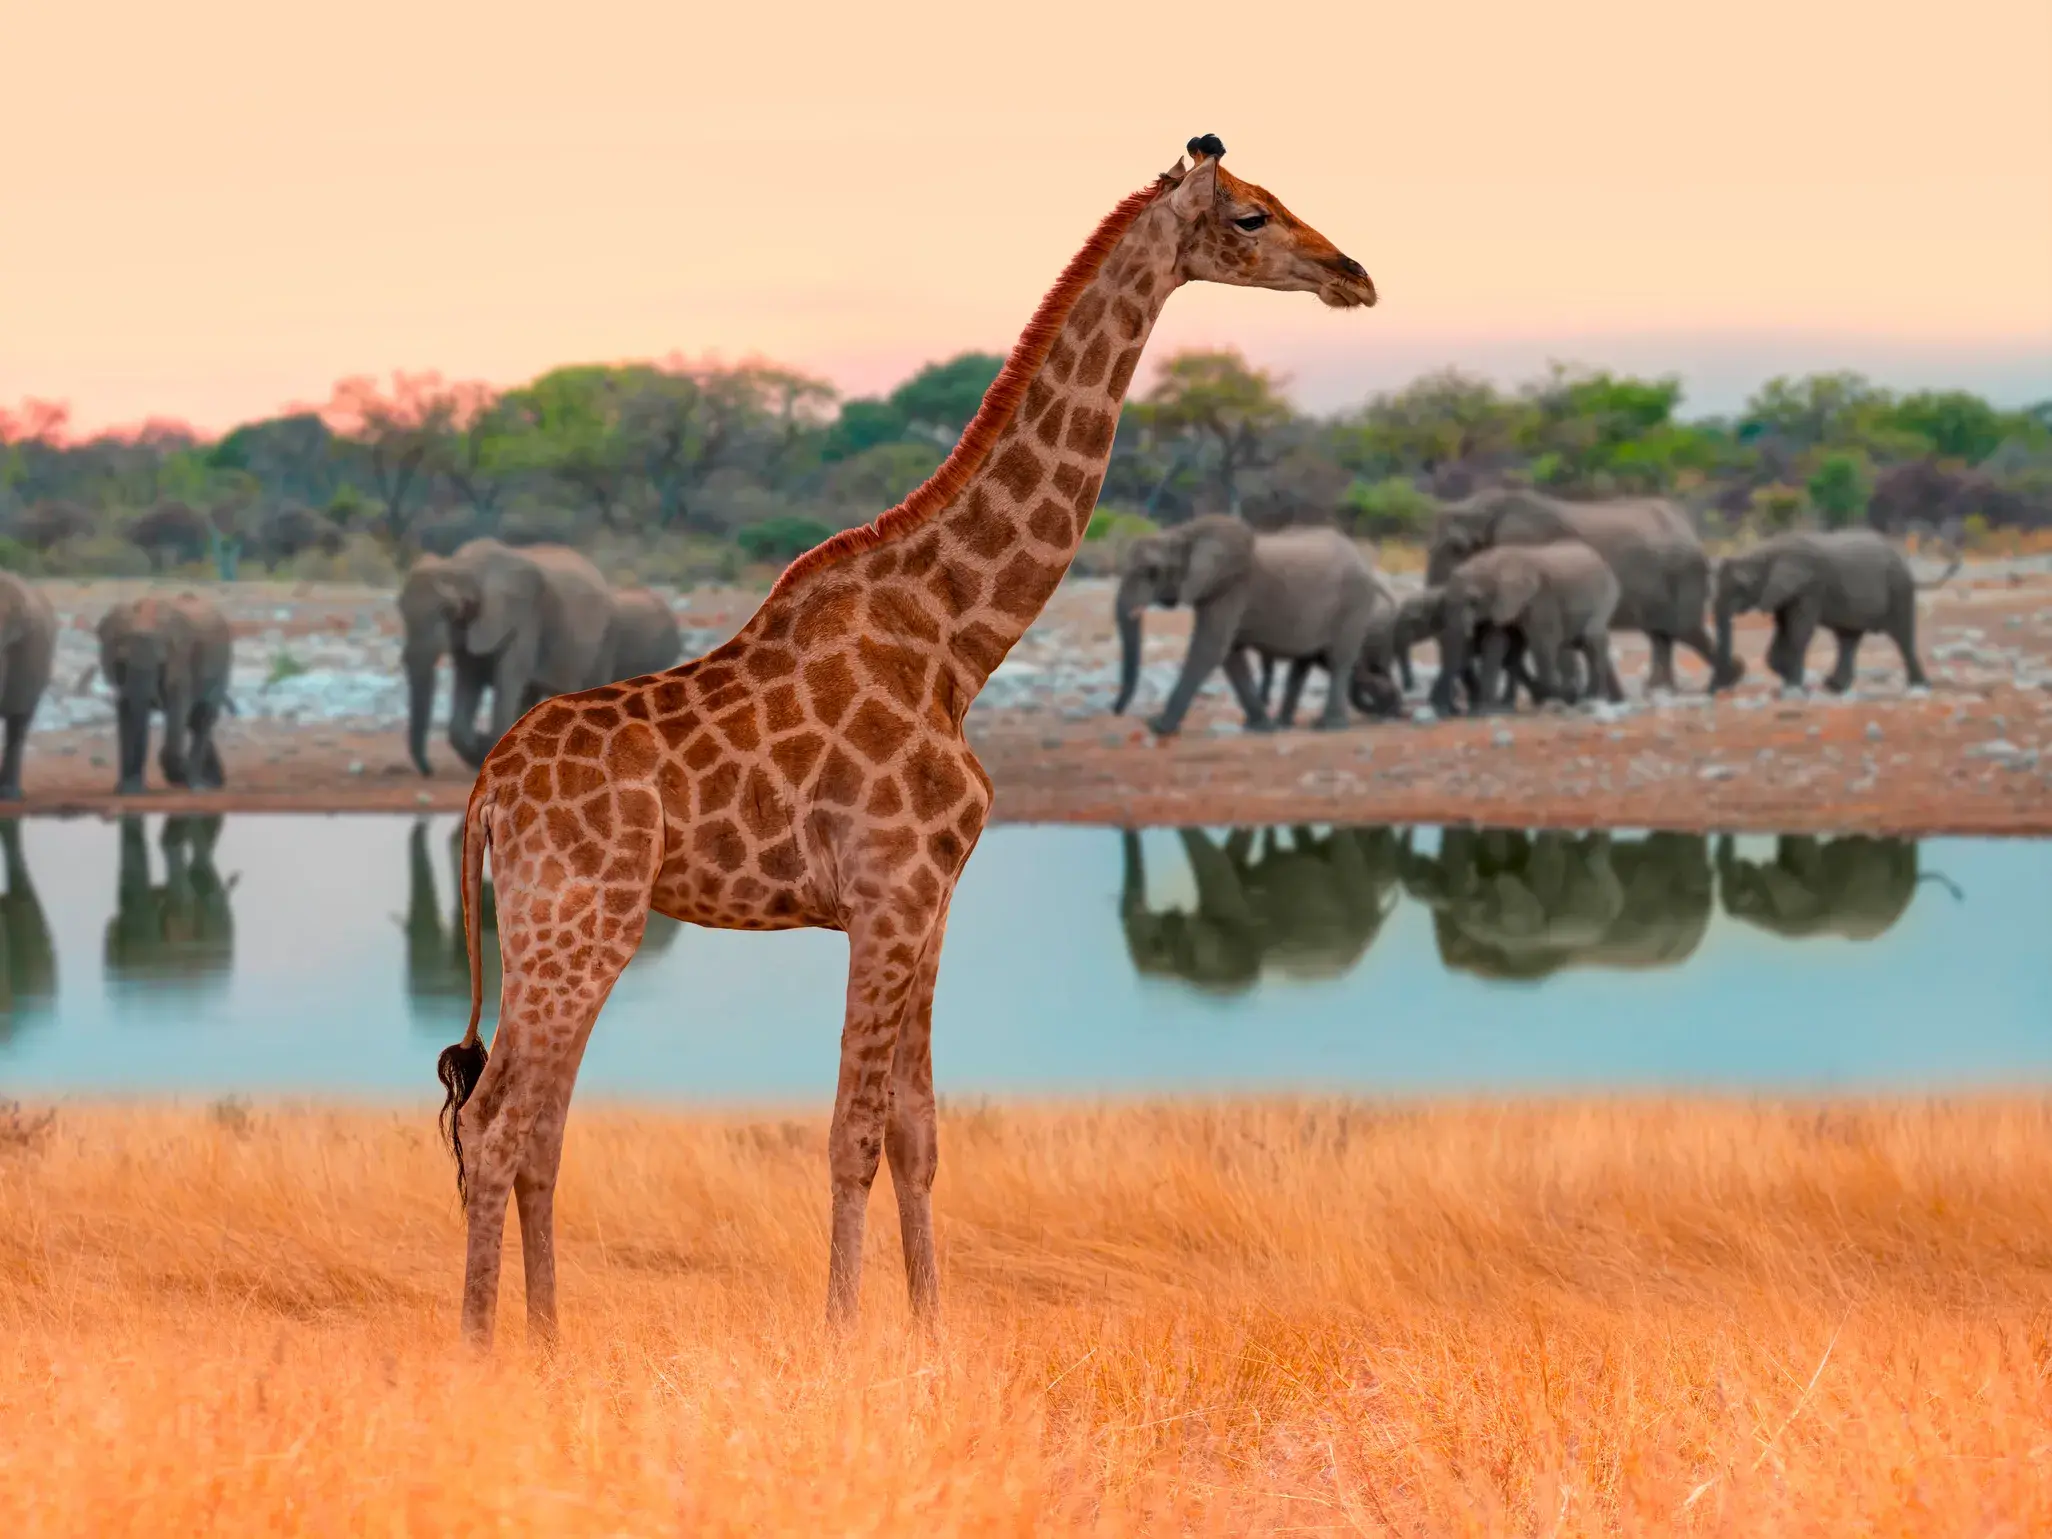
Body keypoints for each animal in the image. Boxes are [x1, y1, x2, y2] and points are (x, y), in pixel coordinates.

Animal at [436, 134, 1377, 1346]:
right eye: (1252, 216)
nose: (1355, 274)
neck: (960, 639)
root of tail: (487, 791)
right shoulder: (886, 892)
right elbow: (851, 1133)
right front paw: (843, 1338)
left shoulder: (931, 902)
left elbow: (918, 1134)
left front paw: (932, 1337)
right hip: (577, 922)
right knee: (499, 1123)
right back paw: (483, 1351)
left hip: (559, 925)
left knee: (532, 1126)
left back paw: (548, 1343)